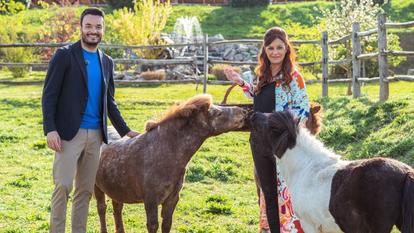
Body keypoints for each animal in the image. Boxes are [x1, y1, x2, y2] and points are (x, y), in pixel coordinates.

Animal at [95, 93, 247, 232]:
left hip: (116, 188)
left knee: (117, 208)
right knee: (102, 209)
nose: (243, 112)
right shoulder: (151, 201)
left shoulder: (172, 199)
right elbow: (153, 226)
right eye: (218, 113)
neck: (163, 152)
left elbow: (166, 224)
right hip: (97, 187)